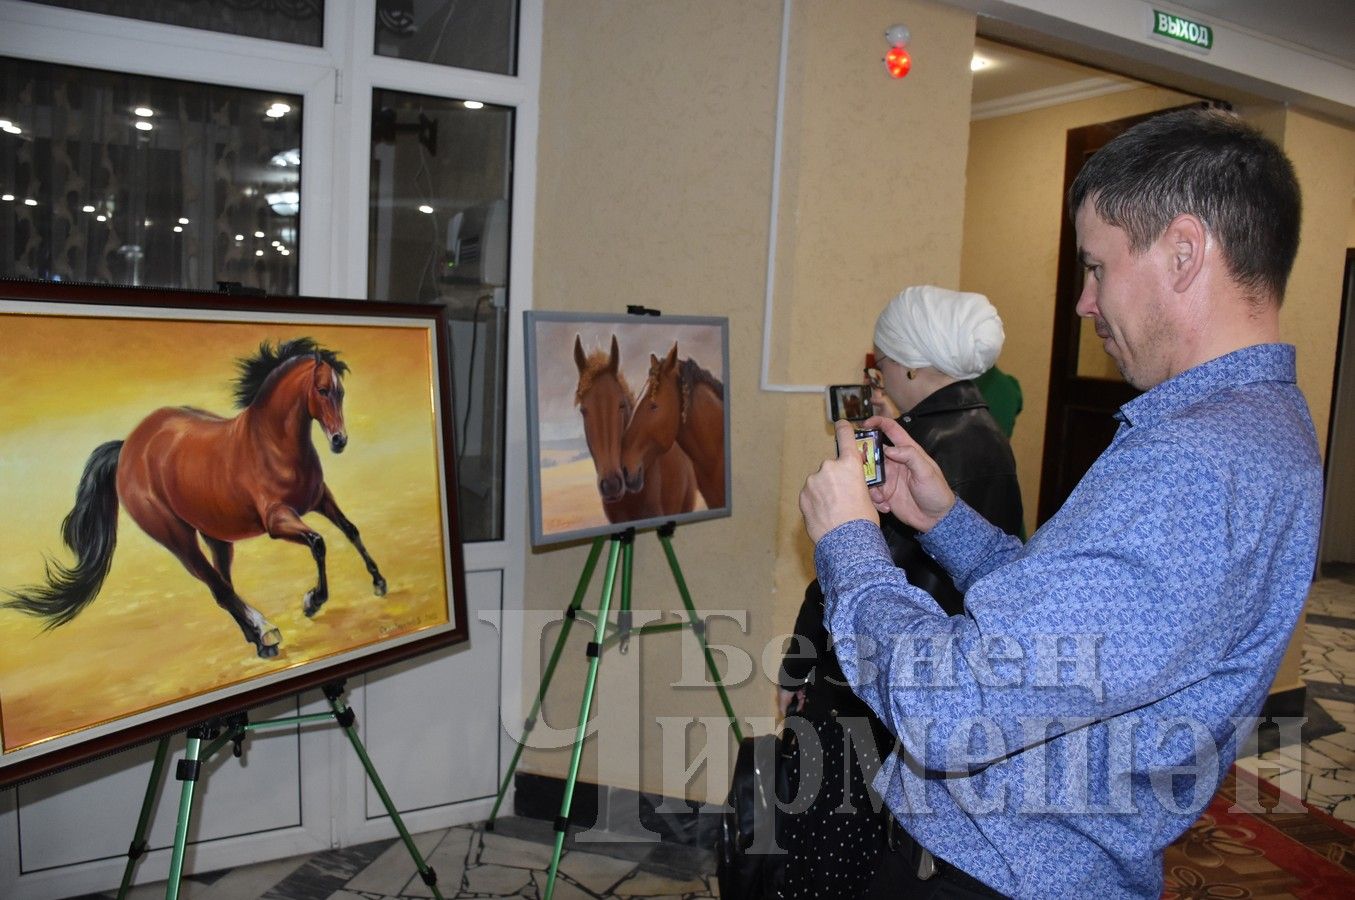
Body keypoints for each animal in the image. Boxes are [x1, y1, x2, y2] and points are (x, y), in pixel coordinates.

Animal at [3, 341, 387, 658]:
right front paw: (312, 601)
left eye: (341, 392)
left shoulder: (320, 498)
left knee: (224, 584)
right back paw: (265, 633)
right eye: (322, 390)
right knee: (218, 588)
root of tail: (128, 448)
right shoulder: (278, 520)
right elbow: (318, 542)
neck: (270, 444)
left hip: (216, 536)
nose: (339, 441)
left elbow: (350, 529)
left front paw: (379, 582)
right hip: (178, 538)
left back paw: (260, 636)